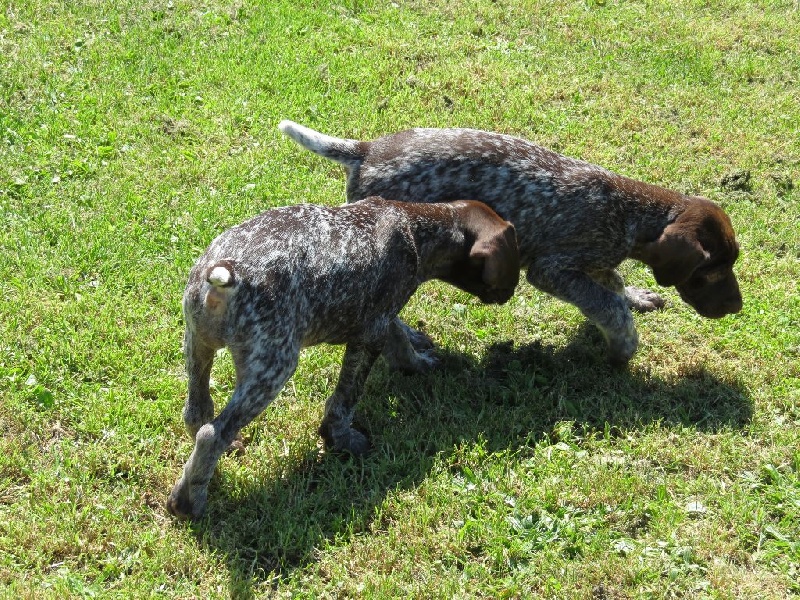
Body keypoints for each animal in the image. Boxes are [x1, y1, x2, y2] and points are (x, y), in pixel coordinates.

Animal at [278, 120, 740, 366]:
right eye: (711, 270)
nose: (737, 307)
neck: (630, 212)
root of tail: (366, 150)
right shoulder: (552, 271)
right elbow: (608, 305)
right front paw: (624, 344)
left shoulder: (595, 262)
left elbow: (615, 284)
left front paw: (637, 296)